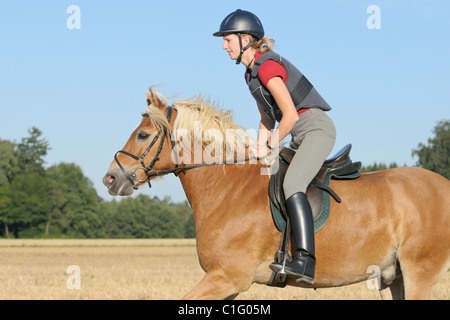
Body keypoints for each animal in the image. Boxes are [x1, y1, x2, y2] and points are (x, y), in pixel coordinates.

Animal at [103, 88, 450, 300]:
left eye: (143, 135)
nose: (110, 178)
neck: (228, 189)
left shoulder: (227, 277)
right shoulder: (227, 282)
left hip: (418, 272)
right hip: (395, 277)